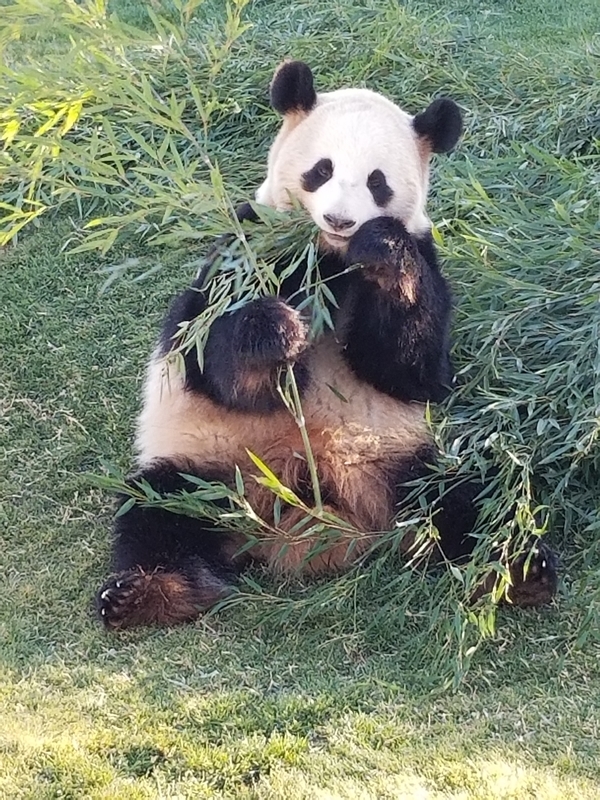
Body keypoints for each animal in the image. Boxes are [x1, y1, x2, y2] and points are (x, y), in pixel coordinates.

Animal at [97, 61, 557, 629]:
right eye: (322, 169)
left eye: (377, 182)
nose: (340, 219)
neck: (328, 256)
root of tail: (299, 528)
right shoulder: (248, 246)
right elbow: (211, 355)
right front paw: (276, 332)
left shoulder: (424, 257)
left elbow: (412, 368)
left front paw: (383, 253)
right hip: (208, 465)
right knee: (157, 511)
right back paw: (150, 593)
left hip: (400, 459)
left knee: (469, 499)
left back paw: (518, 570)